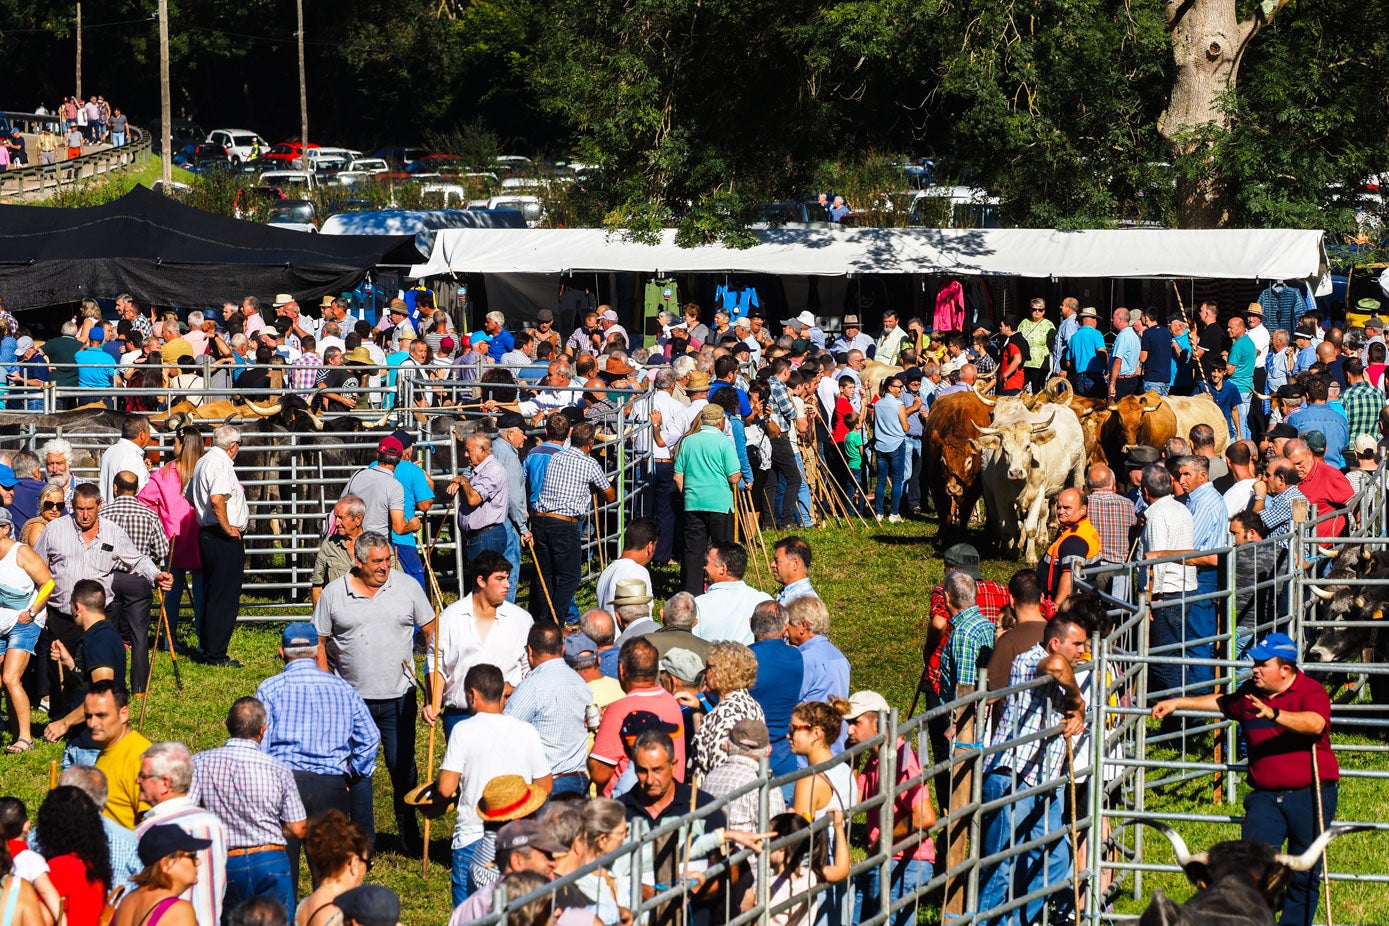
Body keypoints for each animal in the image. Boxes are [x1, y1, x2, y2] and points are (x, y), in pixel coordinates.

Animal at [966, 394, 1083, 560]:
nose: (1016, 472)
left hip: (1078, 467)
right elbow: (1009, 526)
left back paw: (1043, 537)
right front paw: (1011, 549)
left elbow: (1030, 527)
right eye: (1004, 449)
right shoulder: (1001, 498)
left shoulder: (1038, 494)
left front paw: (1031, 556)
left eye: (1028, 446)